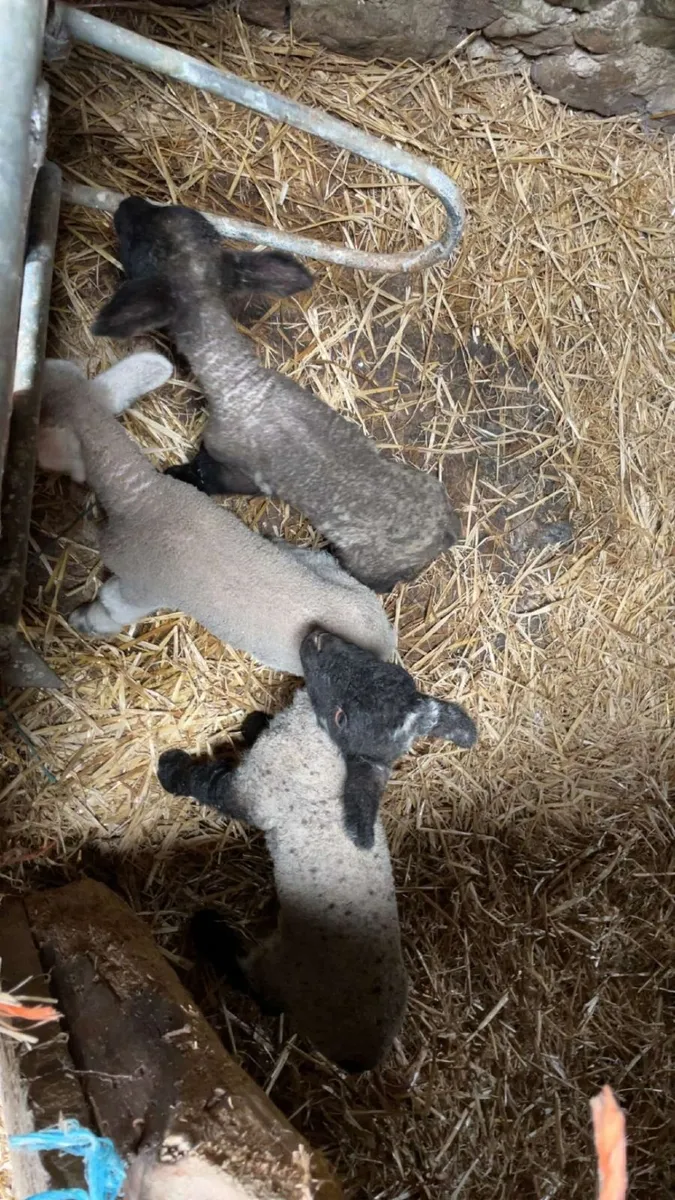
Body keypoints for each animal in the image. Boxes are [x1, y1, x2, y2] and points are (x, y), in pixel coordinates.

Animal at [37, 352, 395, 676]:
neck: (142, 496)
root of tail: (385, 640)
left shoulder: (139, 585)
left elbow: (112, 607)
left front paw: (82, 622)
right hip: (331, 573)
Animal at [92, 196, 462, 593]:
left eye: (140, 244)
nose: (127, 202)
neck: (238, 380)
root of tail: (446, 533)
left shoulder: (235, 469)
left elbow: (206, 477)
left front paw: (176, 475)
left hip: (370, 566)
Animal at [157, 628, 477, 1070]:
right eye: (386, 668)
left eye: (342, 718)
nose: (317, 638)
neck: (319, 745)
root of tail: (362, 1054)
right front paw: (254, 723)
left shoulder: (255, 792)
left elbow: (207, 783)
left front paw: (170, 768)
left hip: (280, 970)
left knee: (257, 988)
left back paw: (208, 930)